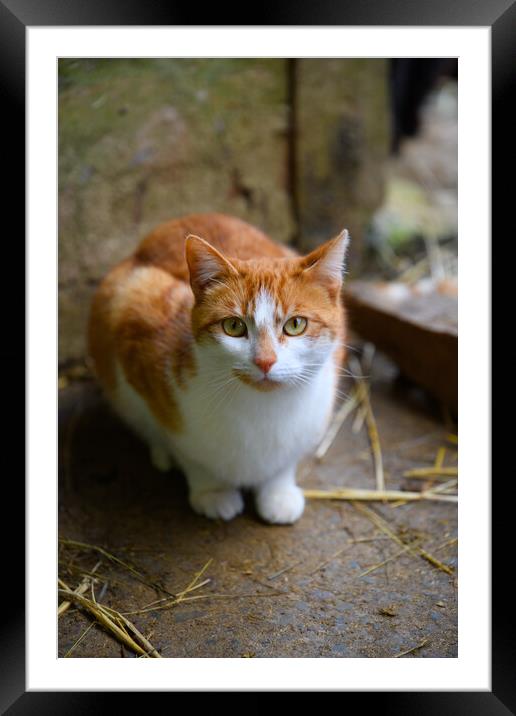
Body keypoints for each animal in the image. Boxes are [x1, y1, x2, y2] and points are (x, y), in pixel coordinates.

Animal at [88, 210, 348, 524]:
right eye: (233, 326)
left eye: (296, 324)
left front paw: (278, 491)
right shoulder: (135, 331)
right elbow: (187, 450)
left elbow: (285, 460)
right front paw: (212, 491)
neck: (262, 409)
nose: (265, 361)